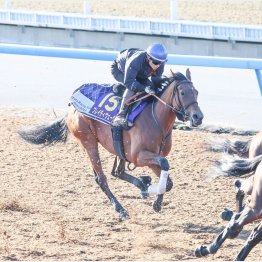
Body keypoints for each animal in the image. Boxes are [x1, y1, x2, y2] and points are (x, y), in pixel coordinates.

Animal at [17, 68, 204, 221]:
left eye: (196, 92)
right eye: (182, 92)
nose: (198, 117)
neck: (156, 119)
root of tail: (71, 106)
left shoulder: (151, 157)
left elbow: (168, 181)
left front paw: (153, 196)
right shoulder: (139, 156)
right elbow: (165, 165)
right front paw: (154, 198)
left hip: (119, 149)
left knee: (117, 172)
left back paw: (142, 185)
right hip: (89, 142)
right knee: (102, 178)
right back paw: (121, 209)